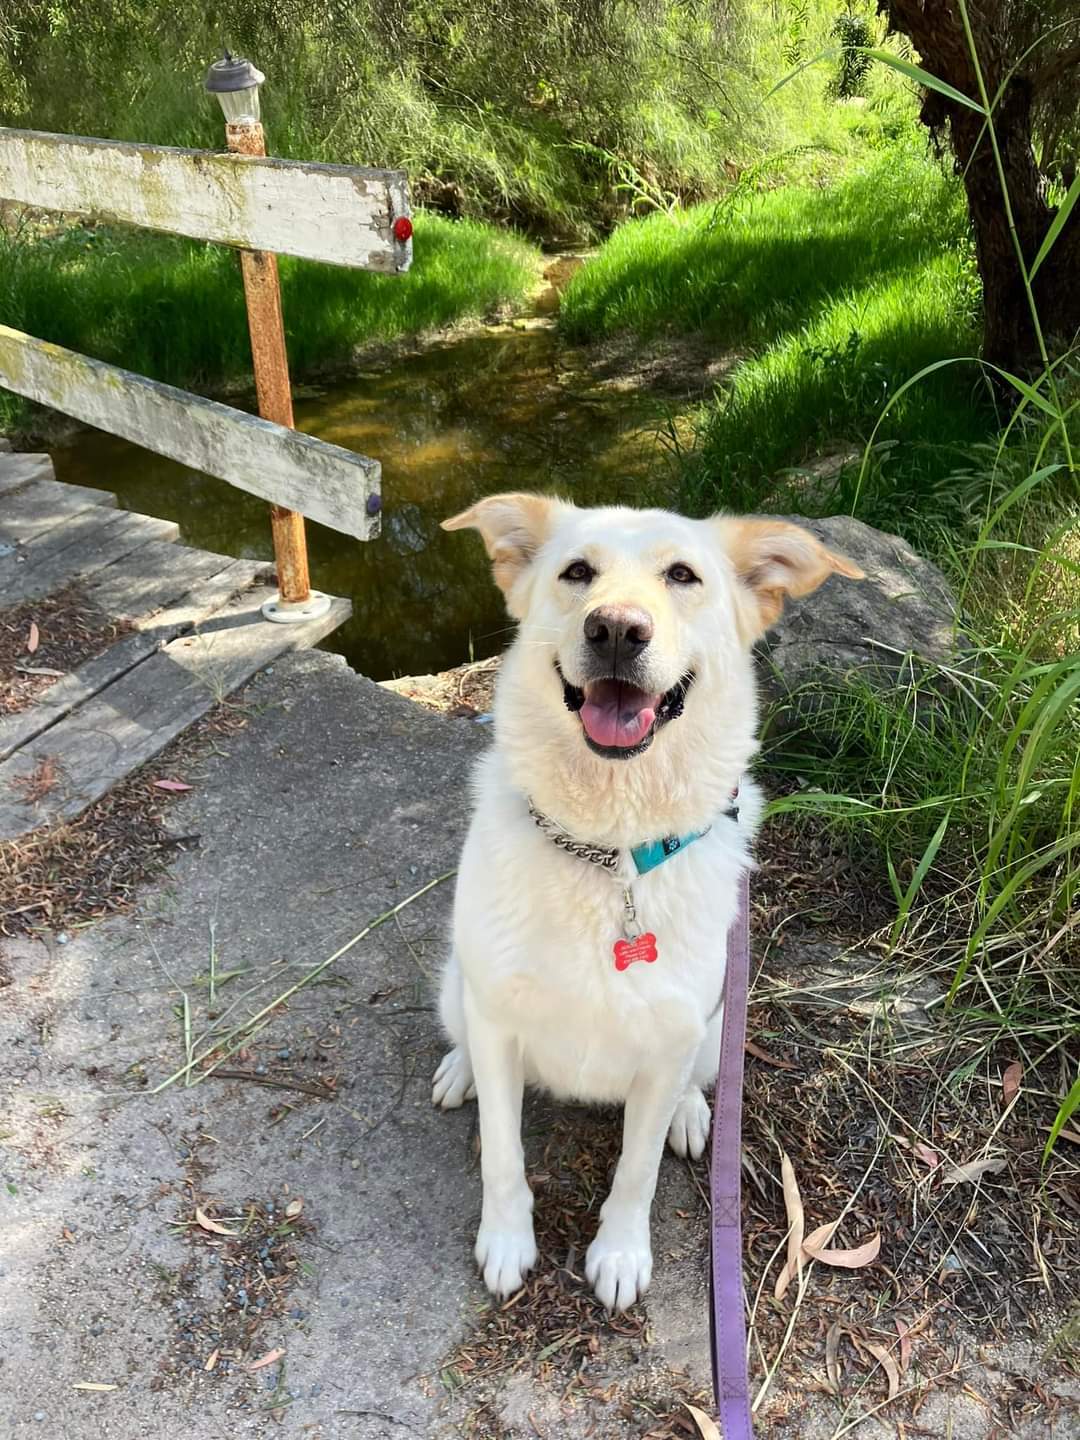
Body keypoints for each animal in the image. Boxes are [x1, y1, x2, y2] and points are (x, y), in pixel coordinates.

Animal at [432, 498, 864, 1319]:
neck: (613, 856)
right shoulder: (498, 1017)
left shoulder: (667, 1043)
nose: (616, 629)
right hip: (456, 986)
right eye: (577, 572)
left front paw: (620, 1252)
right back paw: (458, 1069)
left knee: (695, 1082)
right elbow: (502, 1152)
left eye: (682, 576)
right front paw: (506, 1240)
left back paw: (692, 1115)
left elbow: (635, 1170)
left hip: (720, 1021)